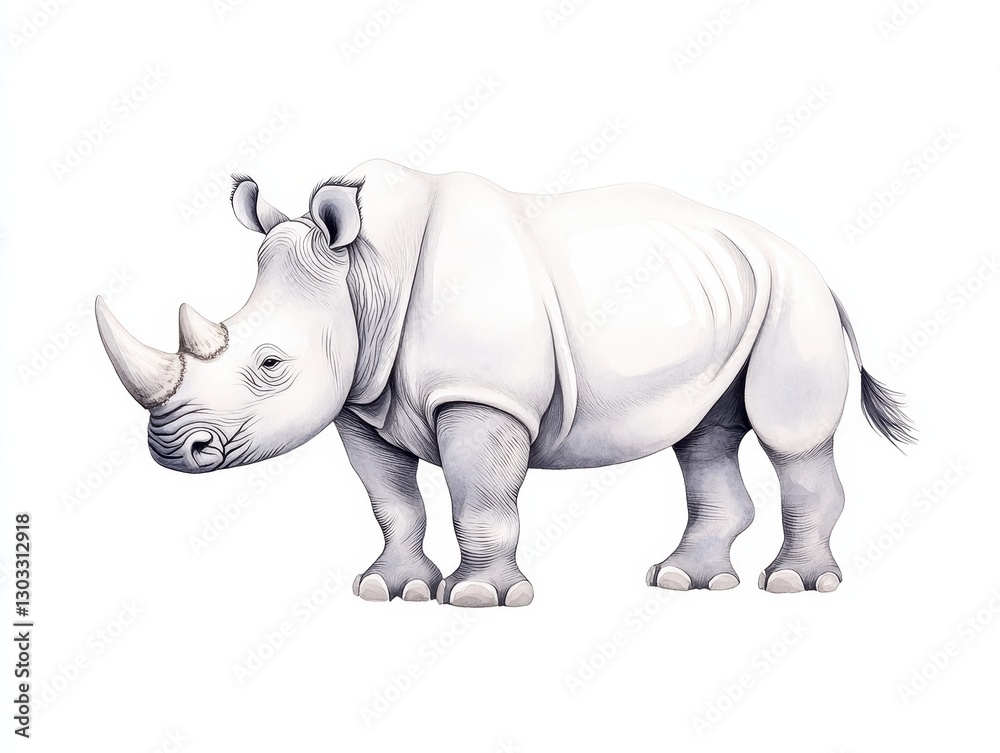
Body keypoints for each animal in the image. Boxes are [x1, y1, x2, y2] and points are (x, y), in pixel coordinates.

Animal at [96, 159, 914, 607]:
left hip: (794, 297)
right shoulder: (360, 399)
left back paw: (795, 585)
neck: (361, 276)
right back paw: (684, 582)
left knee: (789, 436)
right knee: (703, 436)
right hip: (731, 293)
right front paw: (390, 589)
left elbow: (478, 499)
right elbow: (392, 502)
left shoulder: (482, 395)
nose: (172, 448)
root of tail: (815, 265)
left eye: (270, 365)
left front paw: (480, 596)